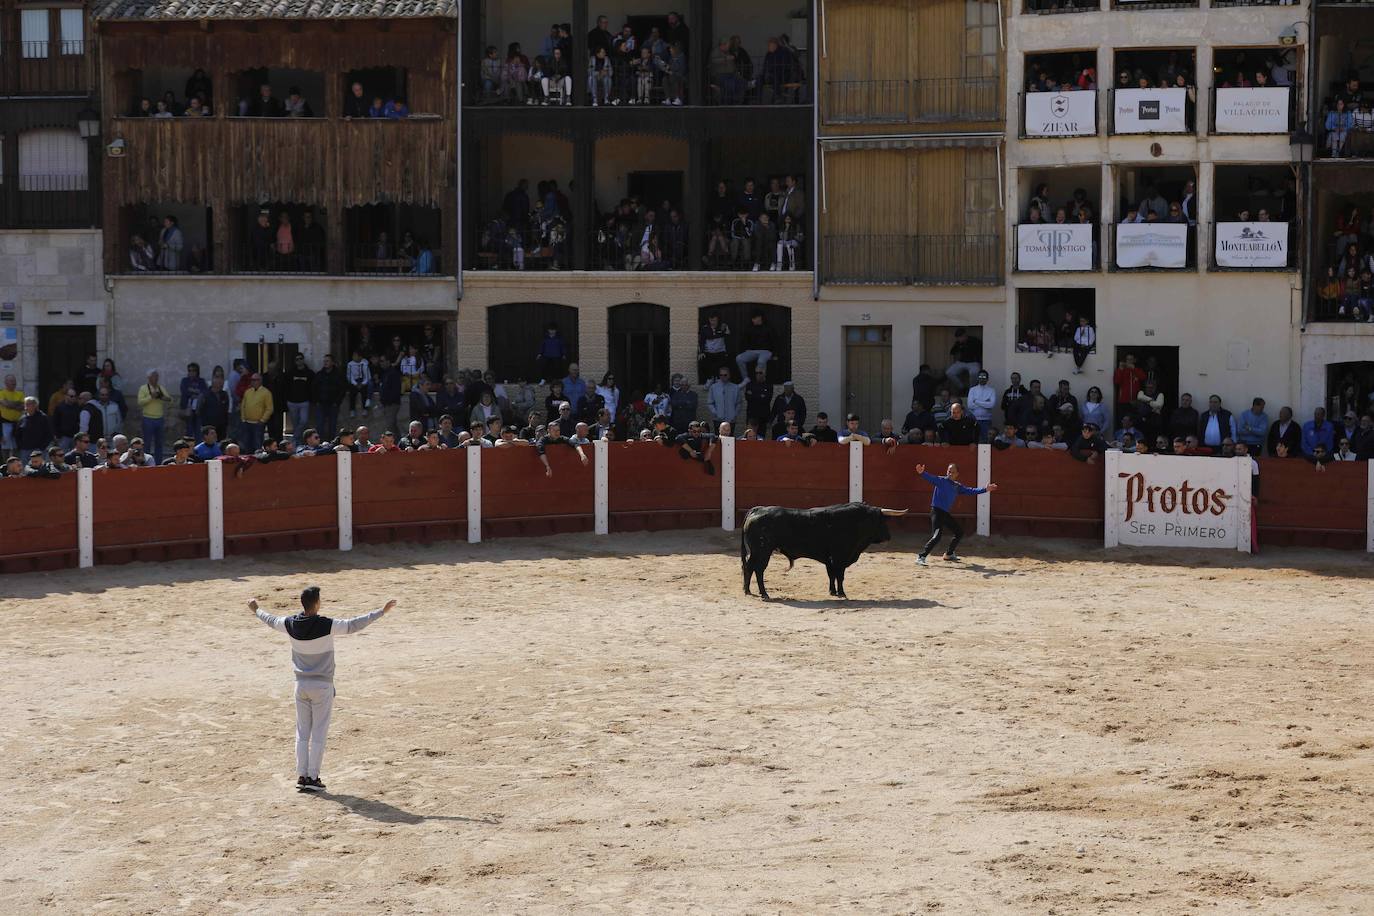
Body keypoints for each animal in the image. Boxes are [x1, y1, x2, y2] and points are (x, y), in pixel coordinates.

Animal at [736, 502, 906, 601]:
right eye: (880, 520)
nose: (888, 536)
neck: (852, 522)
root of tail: (757, 510)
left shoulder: (830, 559)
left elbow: (831, 575)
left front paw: (833, 592)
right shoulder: (840, 557)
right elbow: (840, 576)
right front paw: (842, 593)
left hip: (758, 552)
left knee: (749, 568)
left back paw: (748, 591)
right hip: (762, 551)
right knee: (757, 569)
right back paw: (763, 594)